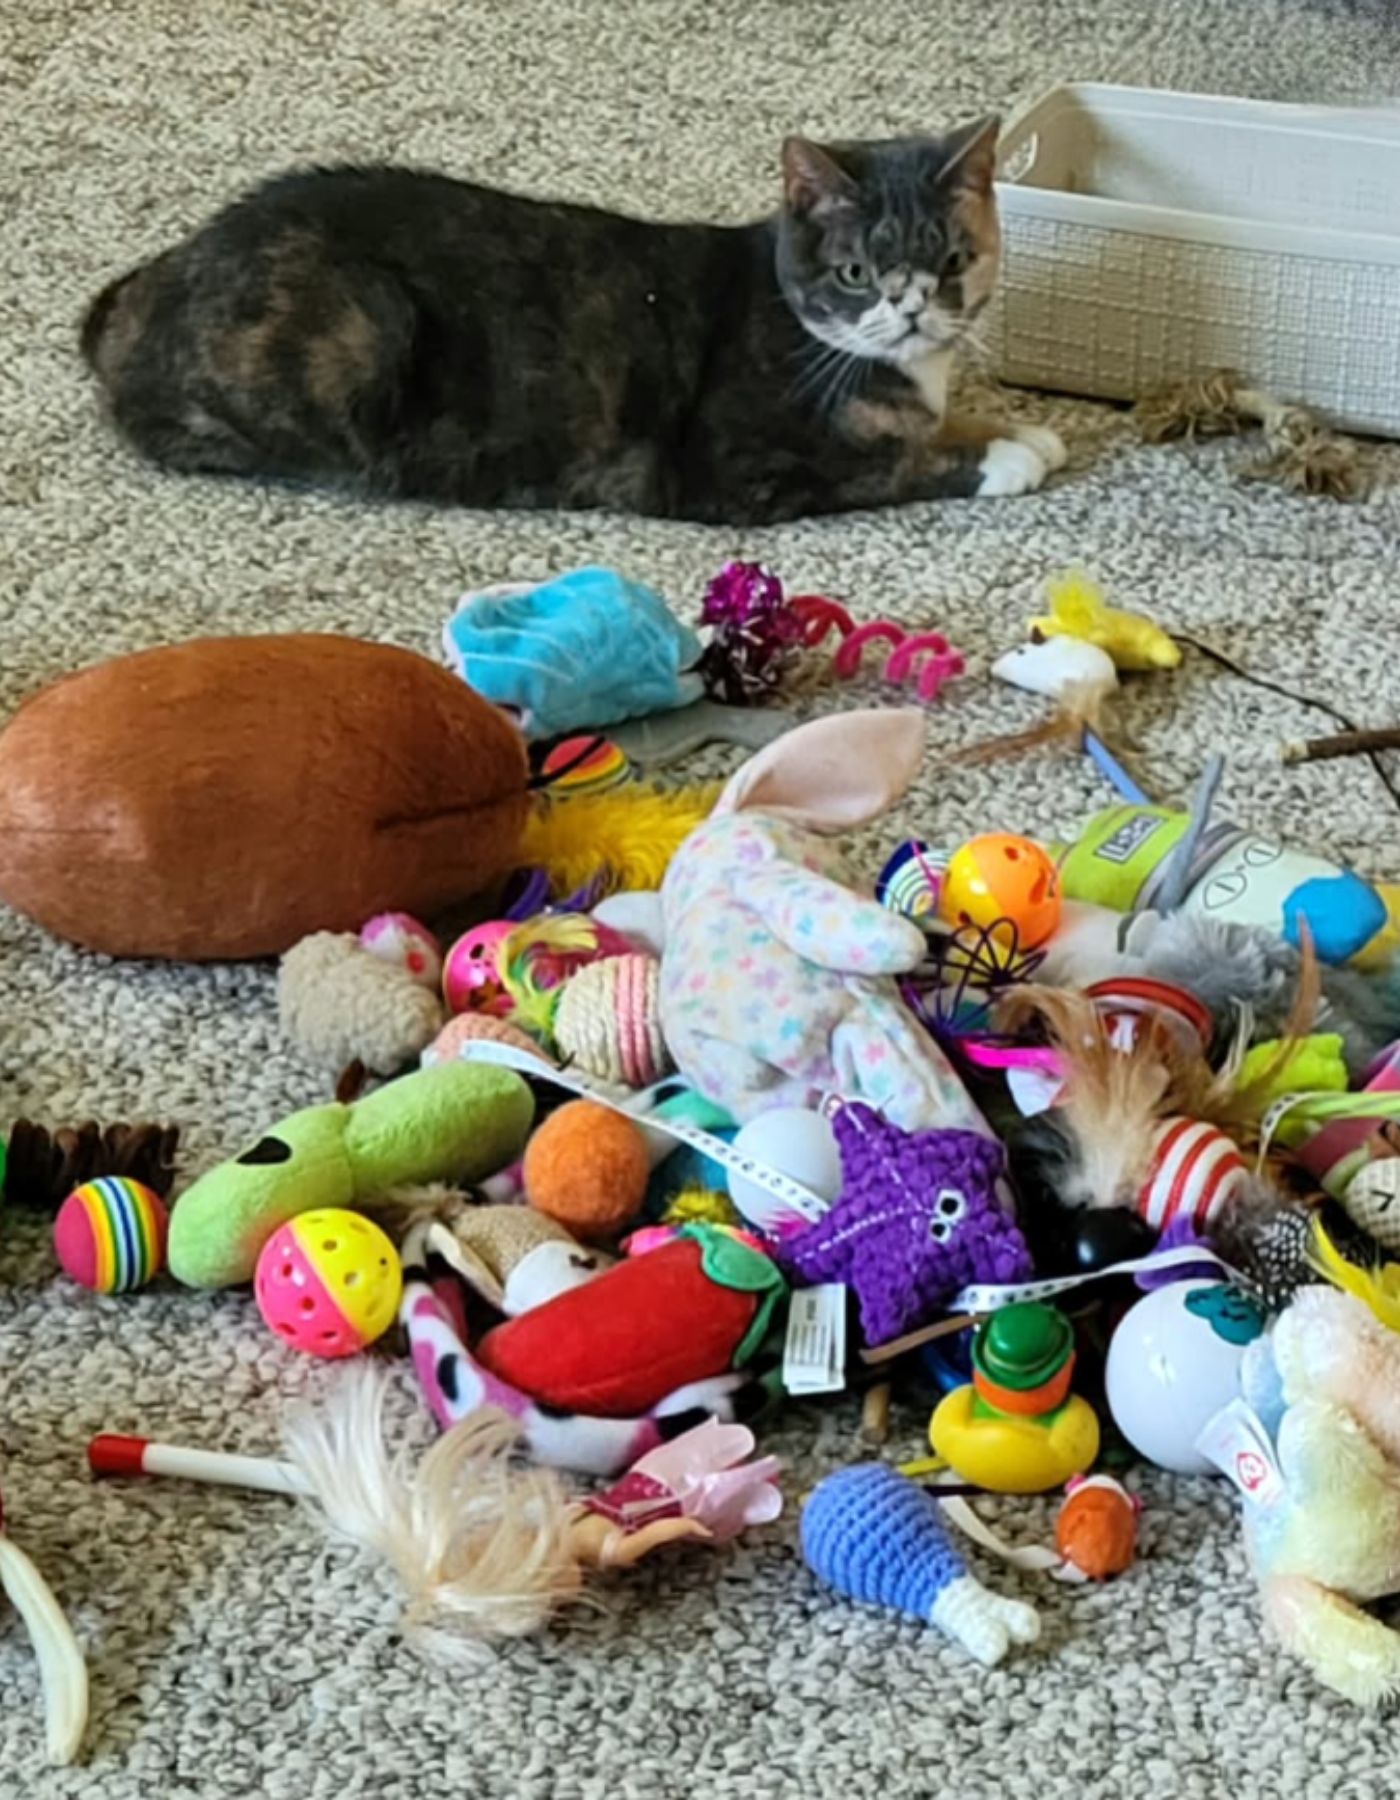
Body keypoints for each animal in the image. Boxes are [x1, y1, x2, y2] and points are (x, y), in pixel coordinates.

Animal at [81, 121, 1065, 522]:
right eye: (856, 271)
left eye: (953, 260)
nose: (909, 306)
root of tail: (154, 278)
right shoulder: (737, 471)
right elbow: (892, 466)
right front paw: (1003, 457)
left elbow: (939, 422)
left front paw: (1022, 428)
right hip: (358, 330)